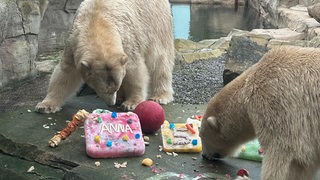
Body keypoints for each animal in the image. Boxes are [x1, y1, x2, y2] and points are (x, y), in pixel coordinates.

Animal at [35, 0, 175, 112]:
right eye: (103, 90)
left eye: (114, 88)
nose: (110, 103)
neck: (97, 22)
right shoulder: (73, 43)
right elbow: (65, 73)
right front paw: (45, 106)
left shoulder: (128, 40)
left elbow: (135, 70)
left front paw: (131, 103)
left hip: (156, 23)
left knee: (160, 60)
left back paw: (160, 96)